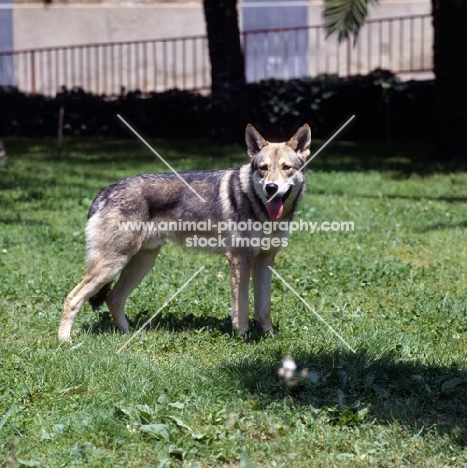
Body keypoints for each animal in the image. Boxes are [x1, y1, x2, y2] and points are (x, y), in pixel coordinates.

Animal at [59, 123, 314, 340]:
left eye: (286, 168)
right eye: (263, 169)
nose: (271, 188)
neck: (258, 204)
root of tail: (104, 191)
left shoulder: (265, 259)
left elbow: (264, 307)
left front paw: (268, 336)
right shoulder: (239, 259)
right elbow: (241, 306)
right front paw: (243, 337)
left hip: (140, 264)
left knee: (113, 298)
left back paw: (127, 334)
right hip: (113, 265)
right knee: (73, 297)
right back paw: (65, 341)